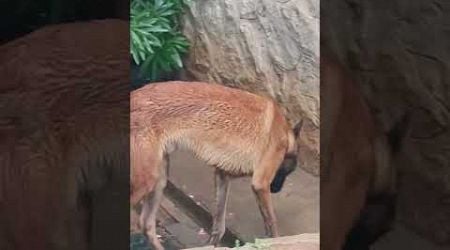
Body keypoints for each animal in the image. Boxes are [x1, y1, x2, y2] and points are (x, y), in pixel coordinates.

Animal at [130, 81, 302, 249]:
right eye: (288, 171)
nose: (276, 190)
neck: (285, 135)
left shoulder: (222, 177)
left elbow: (219, 225)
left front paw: (211, 244)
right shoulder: (260, 184)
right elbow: (272, 222)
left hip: (159, 181)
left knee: (146, 225)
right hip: (147, 181)